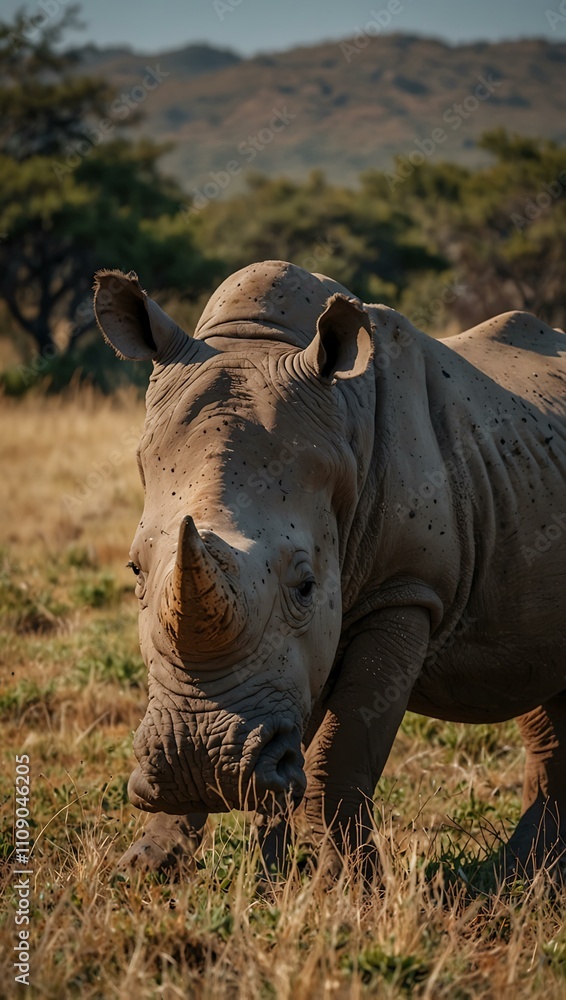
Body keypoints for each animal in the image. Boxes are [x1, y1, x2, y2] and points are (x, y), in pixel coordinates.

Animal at [94, 260, 566, 878]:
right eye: (134, 571)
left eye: (306, 585)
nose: (201, 763)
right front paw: (147, 869)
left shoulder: (407, 589)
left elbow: (340, 748)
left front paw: (346, 885)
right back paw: (525, 874)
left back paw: (523, 875)